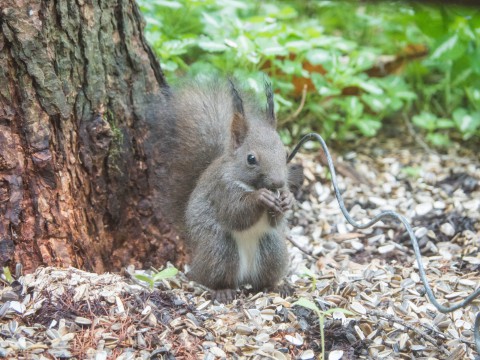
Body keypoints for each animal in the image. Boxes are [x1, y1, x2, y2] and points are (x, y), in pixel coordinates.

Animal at [153, 76, 304, 304]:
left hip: (272, 251)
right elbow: (235, 214)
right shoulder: (222, 190)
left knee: (262, 280)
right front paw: (261, 198)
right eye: (251, 159)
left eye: (285, 153)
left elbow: (275, 221)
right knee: (213, 279)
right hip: (220, 250)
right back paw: (223, 291)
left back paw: (275, 287)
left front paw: (287, 200)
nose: (278, 183)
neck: (248, 183)